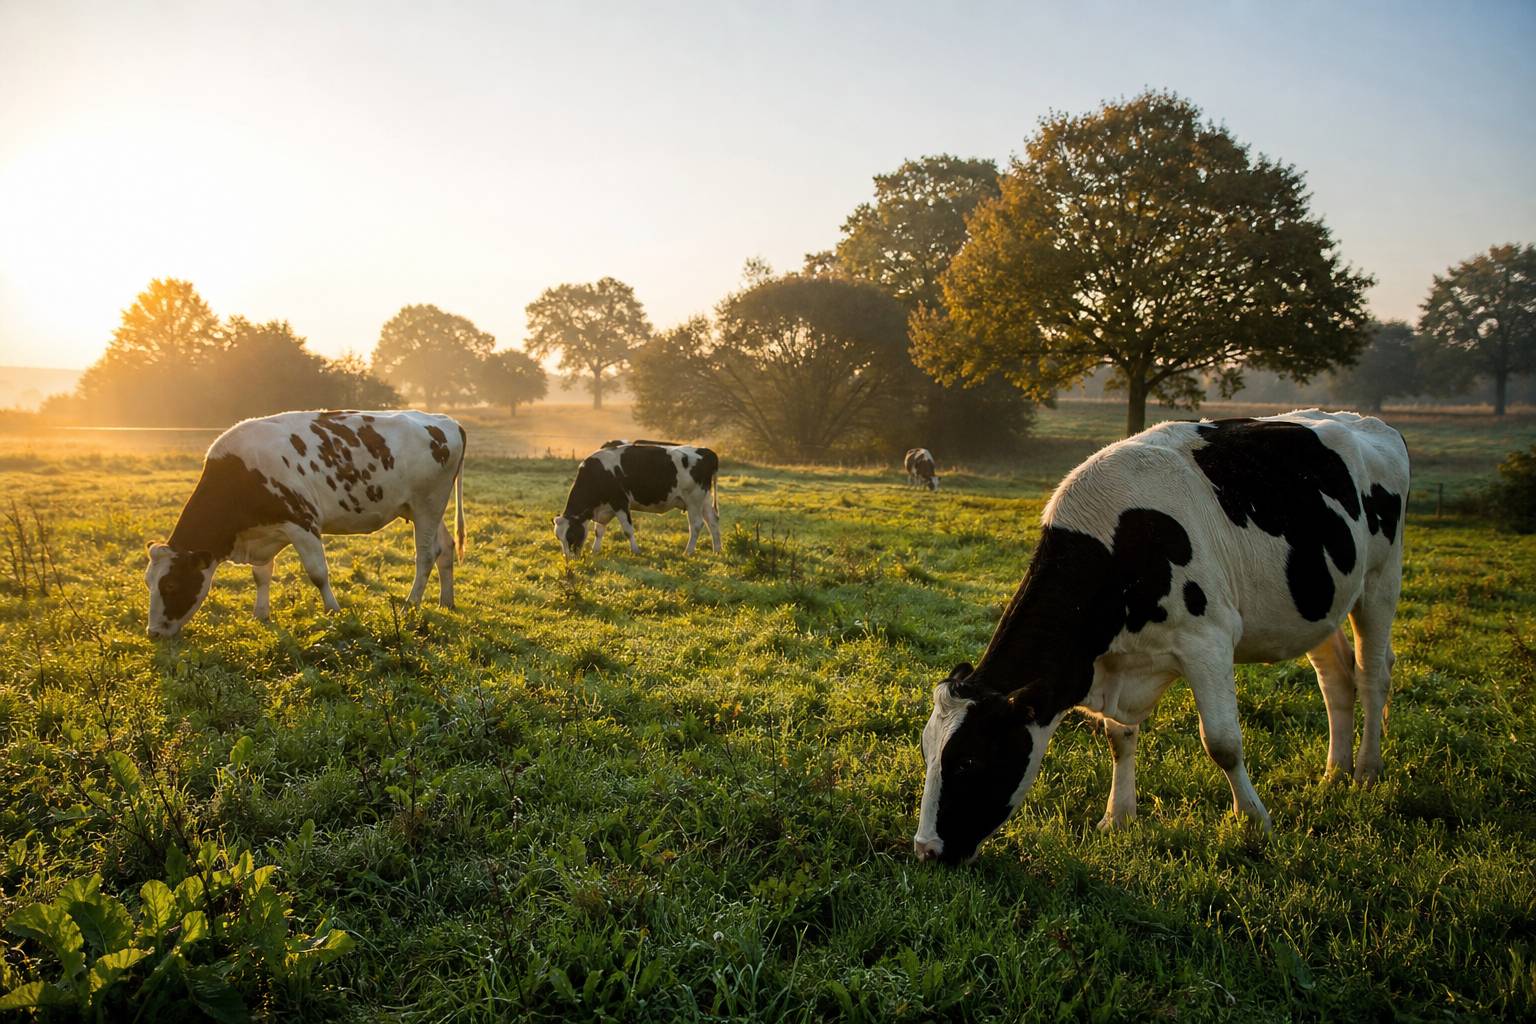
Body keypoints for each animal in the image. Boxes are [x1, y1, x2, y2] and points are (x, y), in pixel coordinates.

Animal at [145, 410, 466, 639]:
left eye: (171, 585)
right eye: (148, 582)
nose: (154, 633)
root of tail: (444, 420)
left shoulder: (303, 522)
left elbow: (318, 573)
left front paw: (333, 610)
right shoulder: (264, 531)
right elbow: (261, 576)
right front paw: (261, 614)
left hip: (427, 504)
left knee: (426, 554)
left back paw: (412, 603)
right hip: (424, 508)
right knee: (446, 547)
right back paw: (446, 601)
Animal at [554, 440, 720, 556]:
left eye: (571, 535)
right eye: (558, 538)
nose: (568, 559)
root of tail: (706, 451)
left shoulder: (620, 502)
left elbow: (628, 530)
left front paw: (635, 550)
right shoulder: (604, 507)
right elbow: (599, 530)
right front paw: (595, 551)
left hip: (694, 500)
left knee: (696, 524)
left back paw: (688, 551)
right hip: (705, 499)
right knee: (712, 521)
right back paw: (717, 550)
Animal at [914, 410, 1409, 865]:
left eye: (969, 761)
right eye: (926, 750)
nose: (926, 850)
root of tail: (1367, 421)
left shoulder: (1208, 640)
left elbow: (1223, 743)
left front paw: (1253, 820)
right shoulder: (1119, 662)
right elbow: (1119, 737)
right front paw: (1118, 816)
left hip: (1380, 581)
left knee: (1373, 675)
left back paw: (1366, 770)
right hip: (1320, 604)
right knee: (1336, 679)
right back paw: (1334, 772)